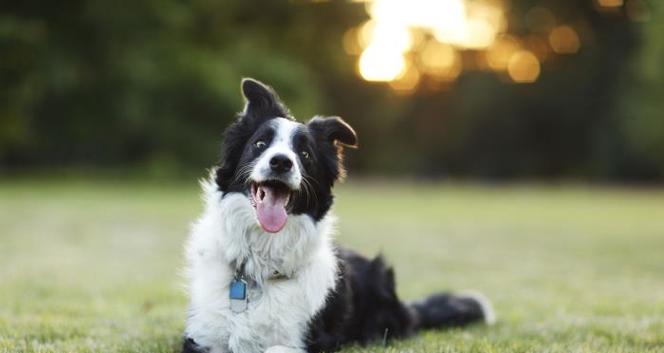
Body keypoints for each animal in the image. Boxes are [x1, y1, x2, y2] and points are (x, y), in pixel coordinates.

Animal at [182, 78, 492, 352]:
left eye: (305, 154)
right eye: (260, 144)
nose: (281, 162)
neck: (260, 267)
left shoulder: (311, 342)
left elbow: (276, 348)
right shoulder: (201, 338)